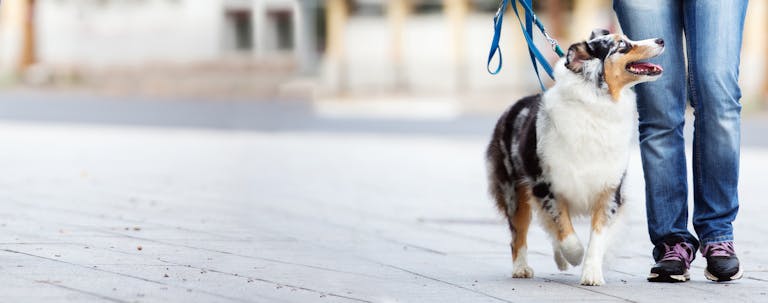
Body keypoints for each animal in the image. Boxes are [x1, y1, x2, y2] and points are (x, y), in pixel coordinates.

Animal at [488, 29, 664, 286]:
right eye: (622, 45)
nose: (660, 40)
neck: (599, 102)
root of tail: (513, 106)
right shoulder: (547, 186)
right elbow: (565, 231)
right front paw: (575, 255)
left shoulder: (609, 189)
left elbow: (597, 236)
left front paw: (592, 273)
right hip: (513, 191)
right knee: (518, 233)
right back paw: (522, 268)